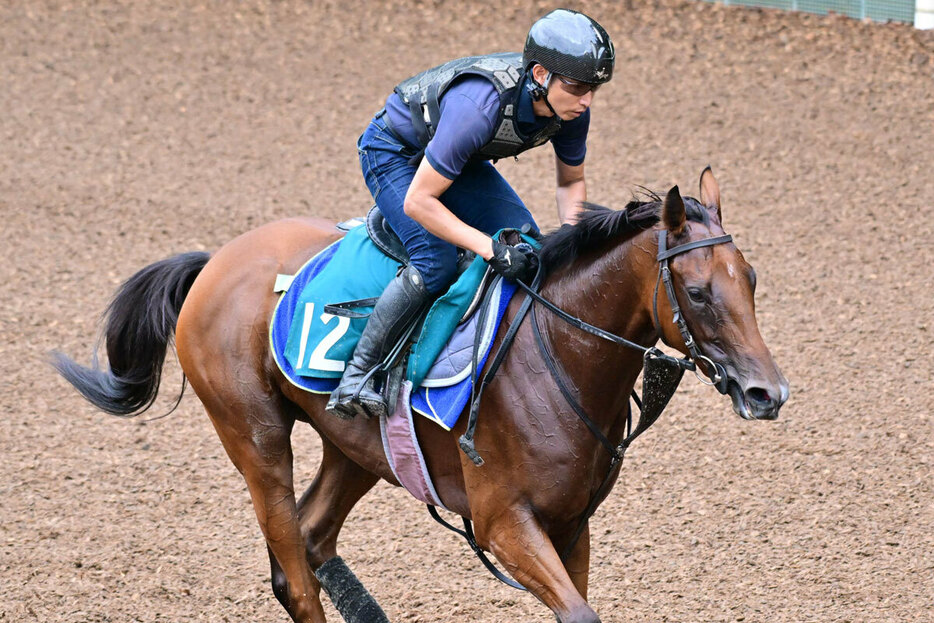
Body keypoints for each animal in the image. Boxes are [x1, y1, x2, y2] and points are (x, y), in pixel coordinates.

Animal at [54, 168, 788, 620]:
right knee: (296, 572)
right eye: (699, 292)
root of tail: (217, 262)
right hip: (255, 438)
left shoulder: (571, 524)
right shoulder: (503, 522)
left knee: (313, 538)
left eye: (750, 279)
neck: (558, 354)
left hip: (359, 448)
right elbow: (577, 609)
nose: (768, 391)